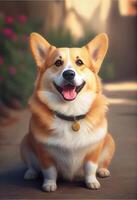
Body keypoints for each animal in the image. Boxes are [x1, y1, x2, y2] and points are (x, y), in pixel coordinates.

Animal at [20, 32, 115, 192]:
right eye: (58, 63)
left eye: (80, 62)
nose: (69, 74)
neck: (71, 113)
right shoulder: (45, 152)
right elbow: (49, 171)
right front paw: (49, 185)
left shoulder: (93, 150)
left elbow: (90, 168)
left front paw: (92, 182)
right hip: (25, 143)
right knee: (32, 164)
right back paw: (30, 173)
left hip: (109, 142)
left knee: (102, 163)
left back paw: (103, 170)